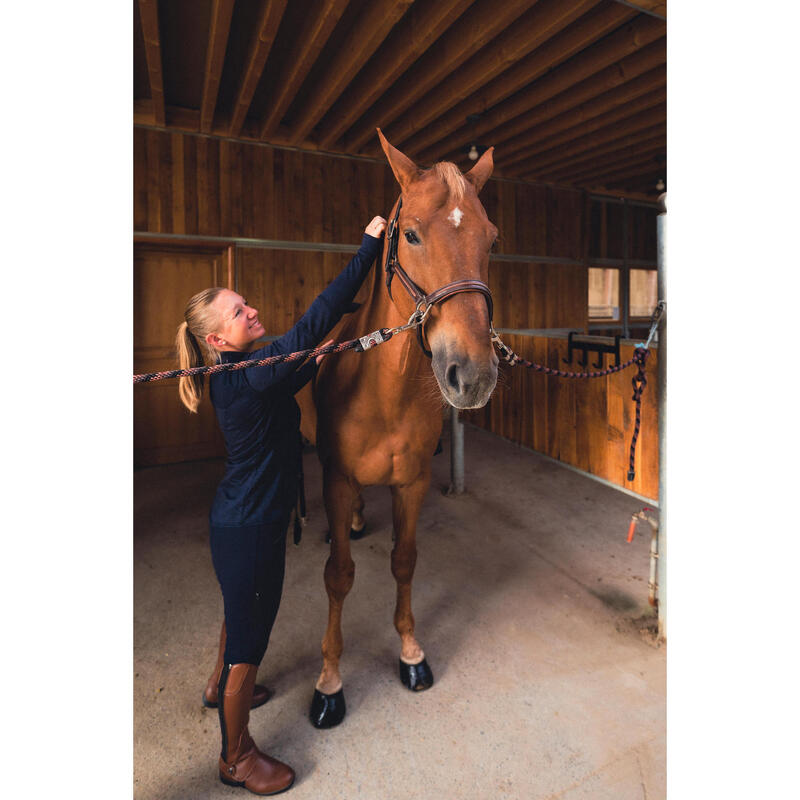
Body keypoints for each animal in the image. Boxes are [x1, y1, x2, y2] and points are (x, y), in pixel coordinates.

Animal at [302, 130, 496, 724]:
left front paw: (411, 653)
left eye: (493, 239)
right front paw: (329, 682)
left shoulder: (412, 484)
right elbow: (339, 575)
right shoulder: (337, 479)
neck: (386, 393)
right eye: (409, 234)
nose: (472, 374)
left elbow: (405, 562)